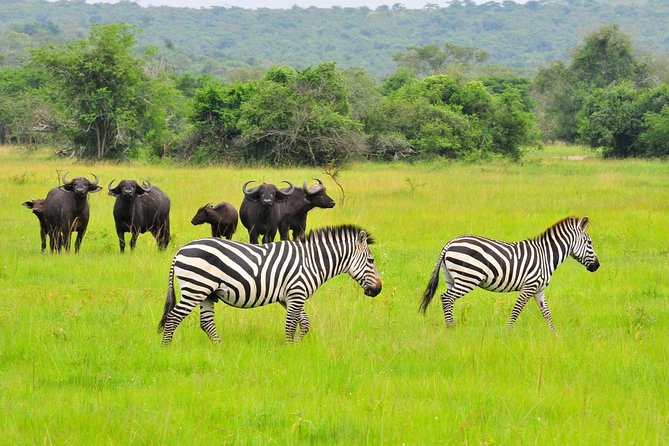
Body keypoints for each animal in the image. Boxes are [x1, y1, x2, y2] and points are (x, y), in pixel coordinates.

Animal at [157, 225, 384, 344]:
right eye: (371, 261)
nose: (379, 289)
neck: (311, 261)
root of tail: (180, 250)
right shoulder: (296, 293)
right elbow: (291, 325)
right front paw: (289, 349)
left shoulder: (288, 297)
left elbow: (305, 323)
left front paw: (296, 346)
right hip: (195, 288)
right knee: (174, 317)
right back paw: (167, 349)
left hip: (206, 293)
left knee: (206, 323)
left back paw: (219, 349)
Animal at [418, 218, 600, 330]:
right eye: (590, 243)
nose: (597, 266)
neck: (546, 255)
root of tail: (449, 243)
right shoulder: (529, 286)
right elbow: (517, 310)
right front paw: (509, 331)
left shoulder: (539, 289)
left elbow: (547, 313)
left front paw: (554, 334)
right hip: (467, 278)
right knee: (446, 298)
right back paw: (451, 327)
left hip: (451, 278)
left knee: (448, 300)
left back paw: (450, 325)